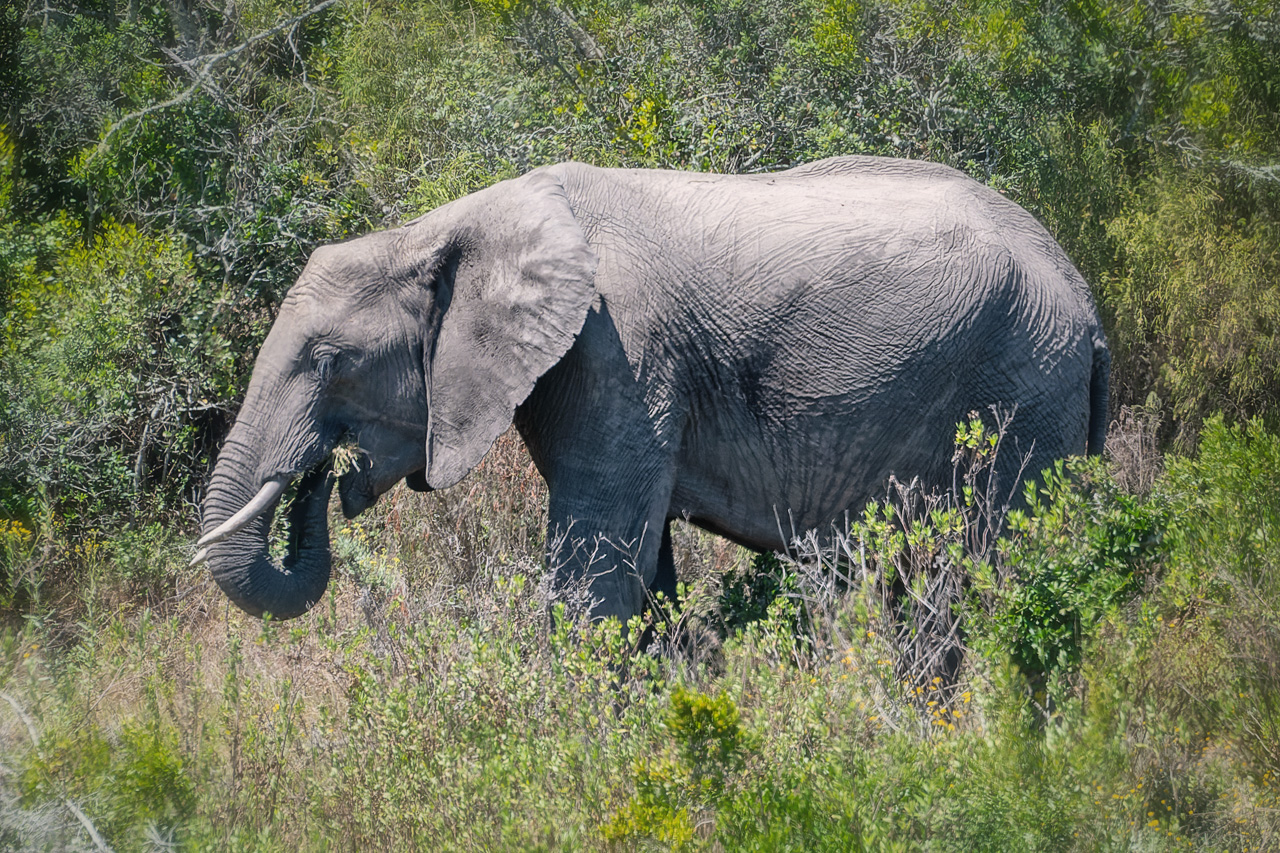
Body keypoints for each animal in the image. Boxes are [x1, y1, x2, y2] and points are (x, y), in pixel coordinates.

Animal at [193, 155, 1109, 622]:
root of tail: (1086, 300)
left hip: (1023, 390)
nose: (319, 473)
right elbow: (644, 576)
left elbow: (596, 571)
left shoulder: (617, 357)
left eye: (328, 361)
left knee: (982, 577)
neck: (452, 223)